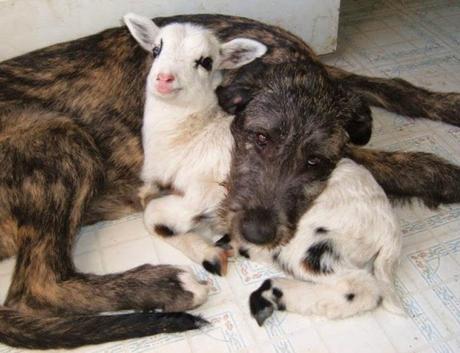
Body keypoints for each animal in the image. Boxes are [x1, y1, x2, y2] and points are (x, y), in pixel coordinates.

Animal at [123, 13, 266, 274]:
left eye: (206, 62)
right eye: (156, 49)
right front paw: (208, 253)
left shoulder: (211, 190)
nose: (164, 78)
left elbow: (152, 215)